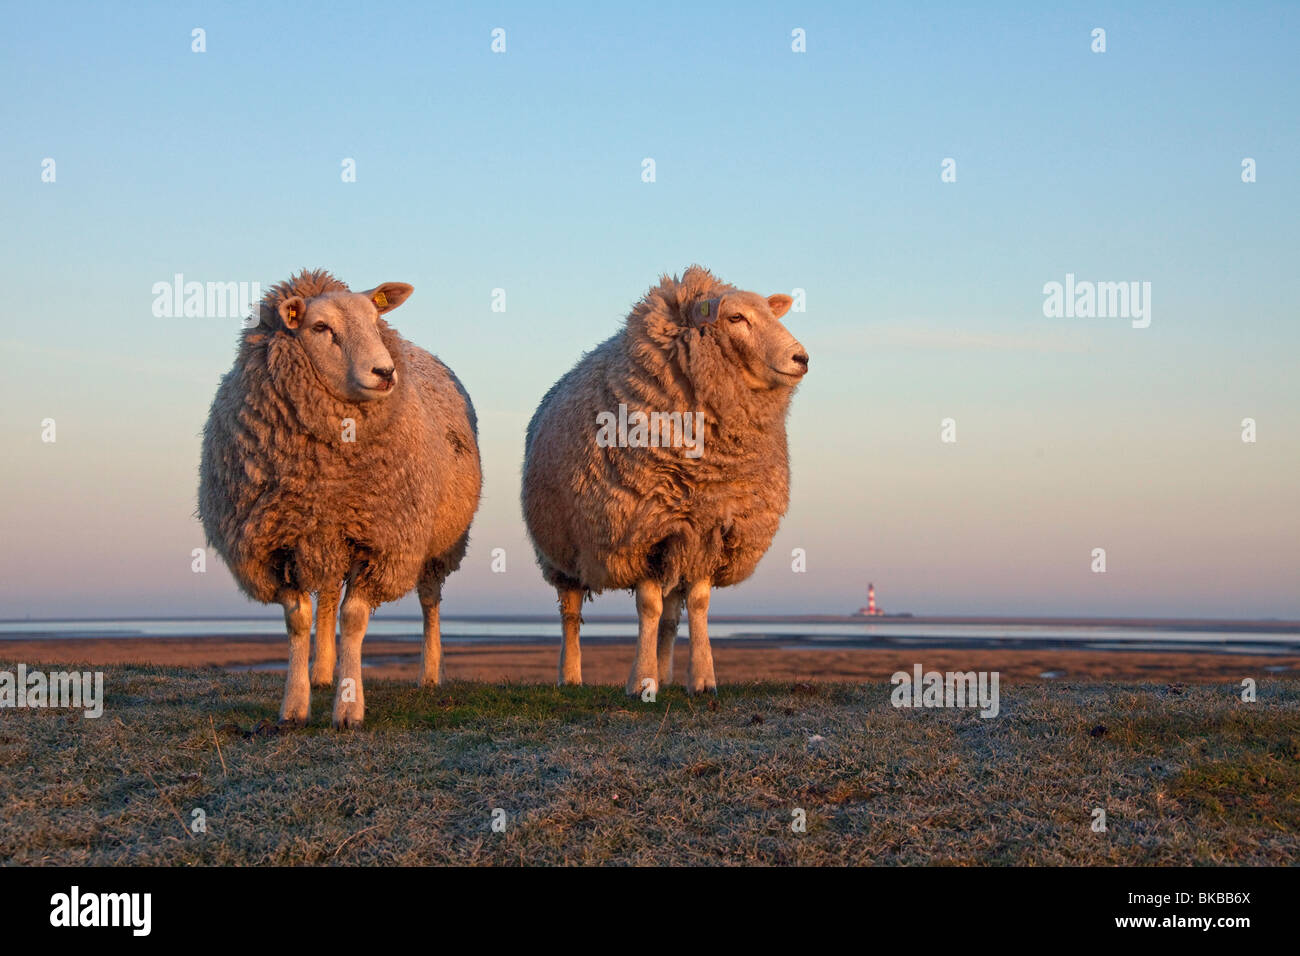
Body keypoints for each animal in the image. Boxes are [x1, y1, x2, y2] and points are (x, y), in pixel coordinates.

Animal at [192, 265, 478, 728]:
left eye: (375, 321)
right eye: (320, 327)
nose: (385, 372)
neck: (326, 475)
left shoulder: (382, 540)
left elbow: (354, 618)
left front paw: (348, 708)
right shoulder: (276, 542)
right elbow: (299, 619)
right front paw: (294, 705)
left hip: (435, 542)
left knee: (429, 601)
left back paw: (430, 674)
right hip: (325, 537)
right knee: (326, 597)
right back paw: (322, 672)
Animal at [520, 265, 806, 697]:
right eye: (736, 318)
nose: (801, 357)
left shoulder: (706, 527)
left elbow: (697, 605)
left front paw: (701, 679)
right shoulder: (640, 530)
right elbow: (648, 608)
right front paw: (641, 680)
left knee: (671, 617)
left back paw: (668, 674)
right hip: (562, 549)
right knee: (570, 612)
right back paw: (570, 676)